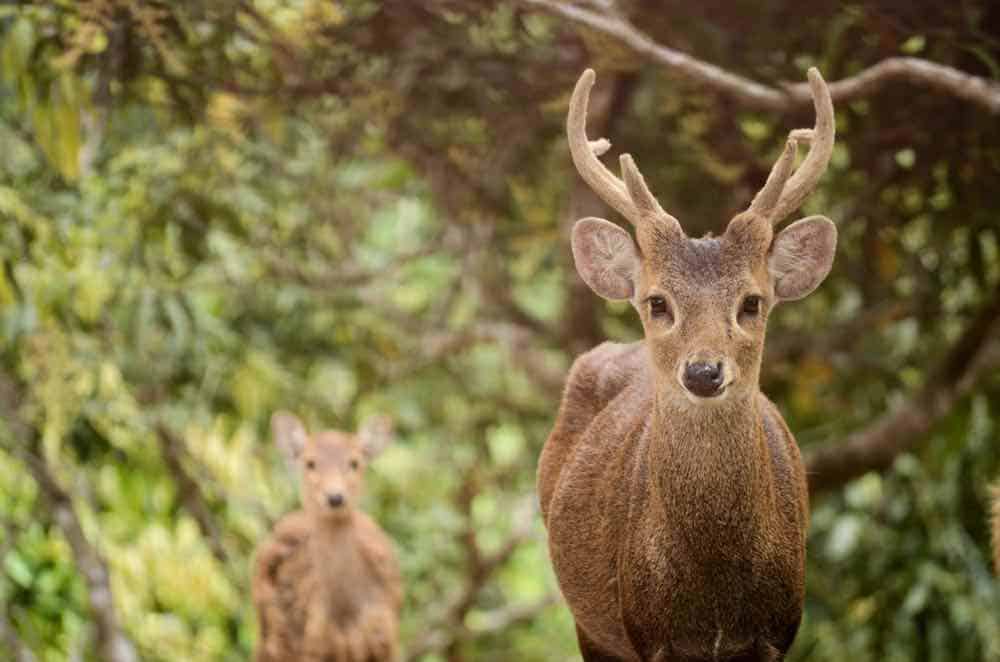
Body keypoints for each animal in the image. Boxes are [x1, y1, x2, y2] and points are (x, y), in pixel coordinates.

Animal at [254, 412, 402, 660]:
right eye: (310, 463)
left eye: (355, 462)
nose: (335, 497)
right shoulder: (310, 647)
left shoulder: (385, 639)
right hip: (271, 632)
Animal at [540, 68, 836, 662]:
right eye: (657, 302)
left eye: (752, 302)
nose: (704, 372)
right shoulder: (647, 632)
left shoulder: (778, 631)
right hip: (590, 627)